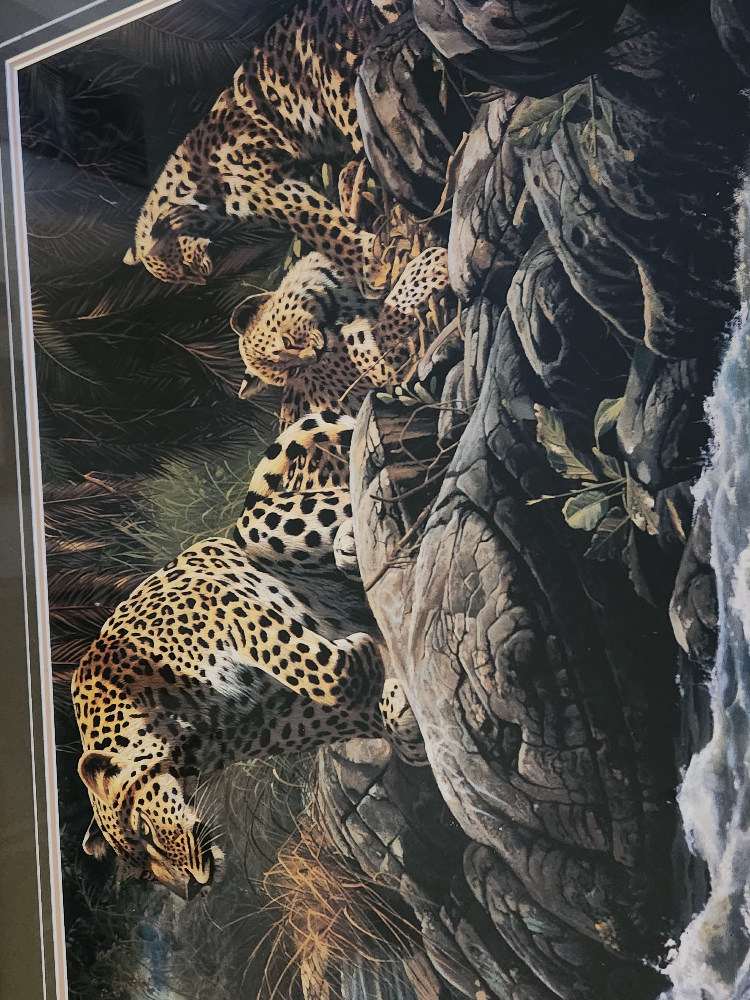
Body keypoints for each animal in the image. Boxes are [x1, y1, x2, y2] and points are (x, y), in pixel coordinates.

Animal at [73, 411, 426, 901]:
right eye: (142, 873)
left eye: (143, 828)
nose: (189, 892)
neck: (190, 742)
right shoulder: (276, 719)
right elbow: (343, 711)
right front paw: (397, 716)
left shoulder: (217, 603)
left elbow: (303, 658)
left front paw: (361, 660)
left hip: (258, 528)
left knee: (337, 497)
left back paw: (352, 542)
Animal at [123, 0, 407, 286]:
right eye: (181, 277)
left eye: (183, 265)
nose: (204, 280)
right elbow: (341, 182)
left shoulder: (273, 189)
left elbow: (321, 228)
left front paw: (371, 268)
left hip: (344, 93)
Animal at [231, 245, 452, 428]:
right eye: (294, 371)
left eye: (288, 342)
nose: (315, 355)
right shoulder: (379, 373)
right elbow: (390, 319)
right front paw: (428, 268)